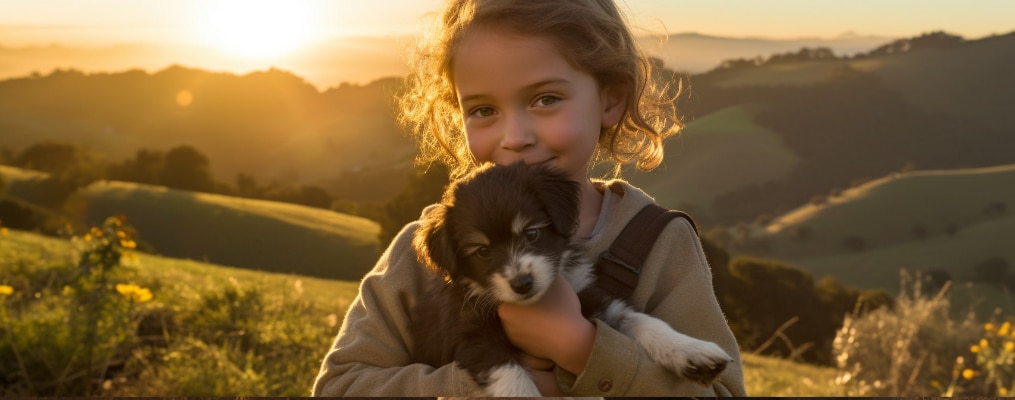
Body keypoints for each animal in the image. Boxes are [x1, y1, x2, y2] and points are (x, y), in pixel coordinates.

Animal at [410, 161, 730, 395]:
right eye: (483, 252)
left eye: (532, 233)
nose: (522, 284)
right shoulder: (470, 335)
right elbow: (512, 377)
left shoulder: (587, 296)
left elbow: (640, 320)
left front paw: (693, 351)